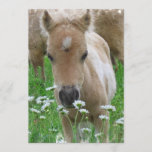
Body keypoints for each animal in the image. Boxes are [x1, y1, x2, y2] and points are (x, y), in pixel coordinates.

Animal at [42, 10, 116, 142]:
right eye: (49, 56)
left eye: (85, 54)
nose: (68, 96)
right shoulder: (65, 119)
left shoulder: (102, 116)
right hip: (80, 121)